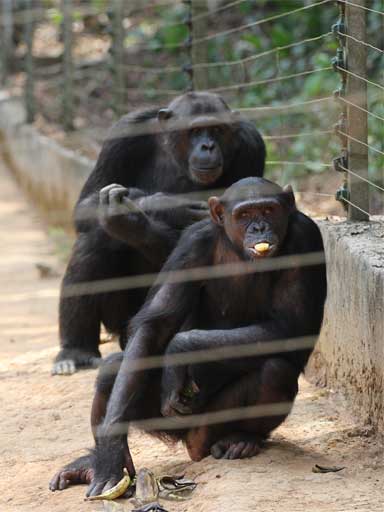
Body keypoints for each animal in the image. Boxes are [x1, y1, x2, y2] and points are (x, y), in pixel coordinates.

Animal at [49, 177, 328, 496]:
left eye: (268, 210)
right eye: (244, 215)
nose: (259, 228)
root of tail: (186, 440)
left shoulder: (305, 237)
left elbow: (291, 326)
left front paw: (181, 348)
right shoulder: (192, 245)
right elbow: (156, 325)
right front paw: (109, 454)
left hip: (206, 426)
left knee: (276, 372)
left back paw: (241, 439)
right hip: (164, 417)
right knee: (112, 370)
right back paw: (93, 464)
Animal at [52, 91, 266, 376]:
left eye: (217, 130)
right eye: (195, 131)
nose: (208, 146)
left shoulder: (251, 146)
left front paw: (131, 220)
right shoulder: (123, 134)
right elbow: (86, 205)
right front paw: (160, 206)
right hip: (118, 318)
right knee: (93, 239)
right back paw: (77, 351)